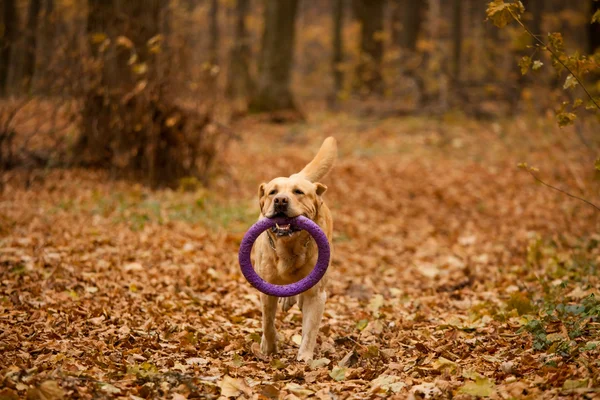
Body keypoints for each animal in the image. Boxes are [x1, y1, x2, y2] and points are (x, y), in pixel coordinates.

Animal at [252, 136, 338, 360]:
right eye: (272, 192)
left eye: (299, 192)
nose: (280, 200)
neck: (289, 247)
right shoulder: (266, 288)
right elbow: (267, 323)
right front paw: (269, 347)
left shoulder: (317, 294)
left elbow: (310, 329)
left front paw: (304, 358)